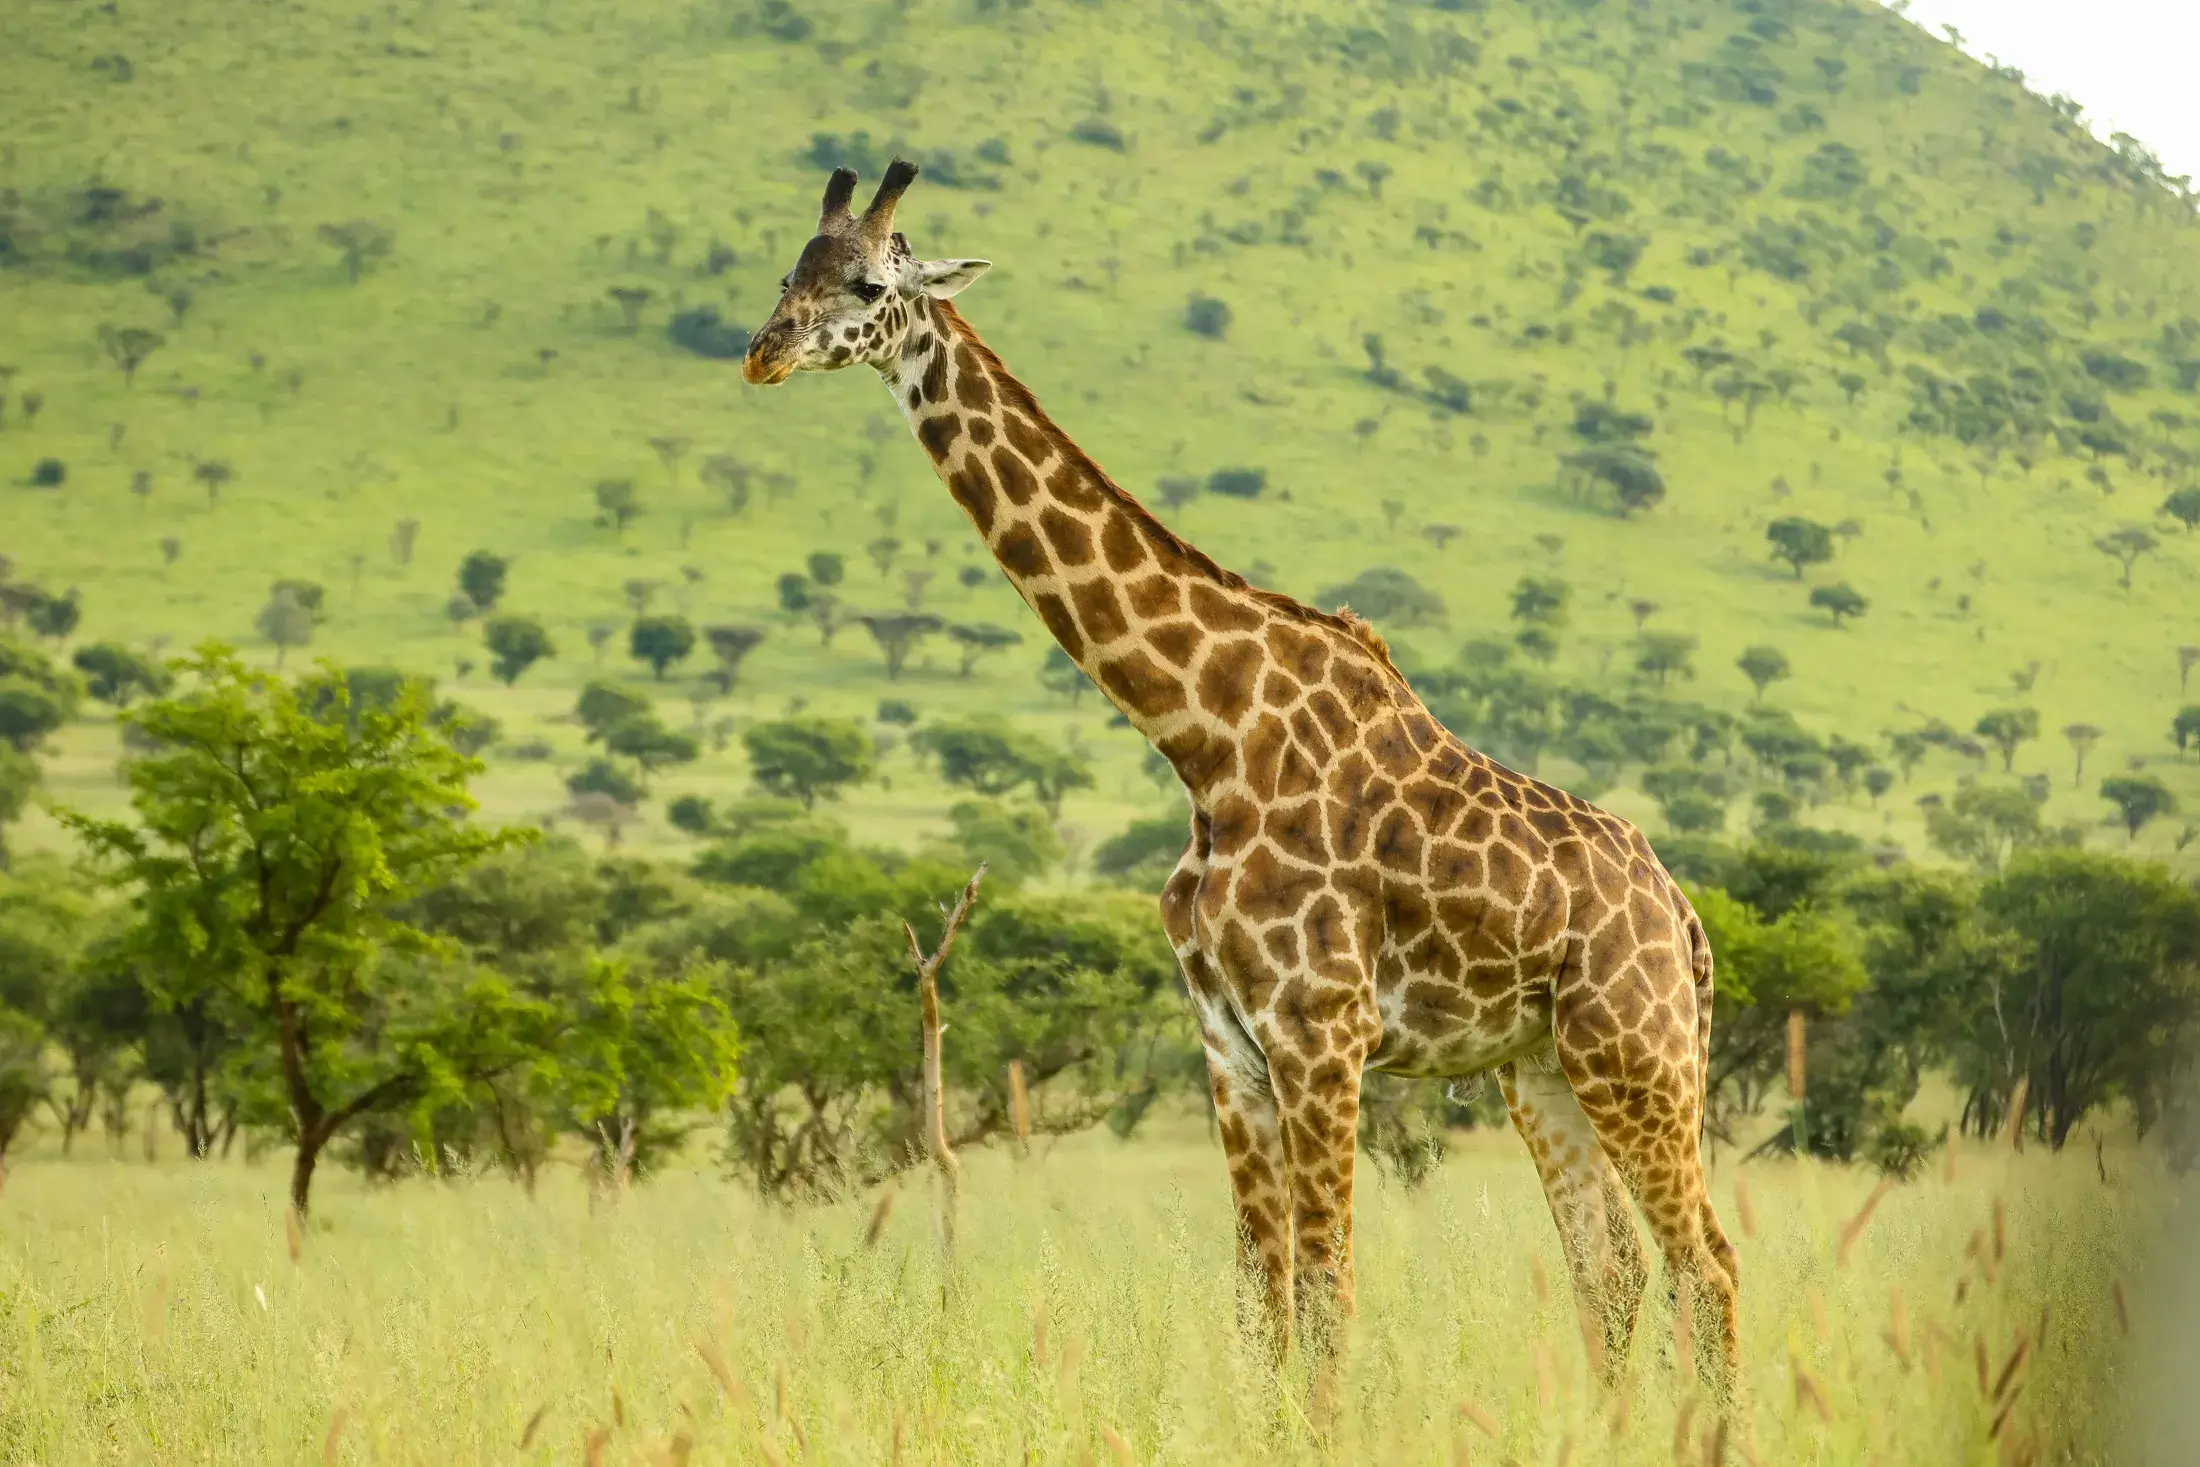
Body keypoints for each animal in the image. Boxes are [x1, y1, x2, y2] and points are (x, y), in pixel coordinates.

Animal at [741, 162, 1741, 1398]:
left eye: (870, 285)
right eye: (789, 270)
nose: (763, 352)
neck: (1205, 737)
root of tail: (1685, 924)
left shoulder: (1321, 1034)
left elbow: (1325, 1298)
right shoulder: (1230, 1044)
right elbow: (1259, 1305)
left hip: (1635, 1052)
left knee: (1706, 1266)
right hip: (1541, 1068)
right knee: (1614, 1271)